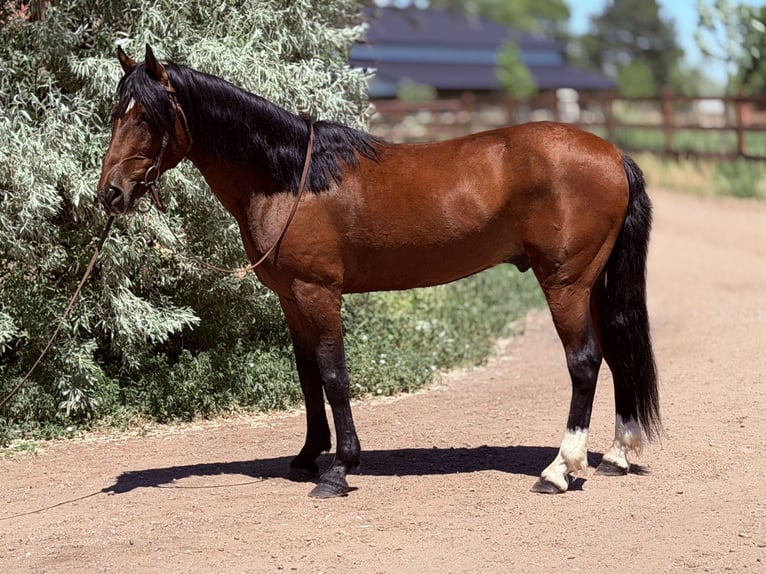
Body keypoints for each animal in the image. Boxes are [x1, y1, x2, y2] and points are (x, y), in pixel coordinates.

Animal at [97, 45, 660, 498]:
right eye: (115, 114)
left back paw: (559, 470)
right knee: (615, 354)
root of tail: (613, 154)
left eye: (147, 117)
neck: (290, 178)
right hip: (592, 285)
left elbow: (334, 375)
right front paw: (308, 456)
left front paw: (339, 470)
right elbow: (308, 376)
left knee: (584, 362)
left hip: (565, 283)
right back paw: (616, 456)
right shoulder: (290, 298)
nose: (110, 194)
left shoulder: (319, 292)